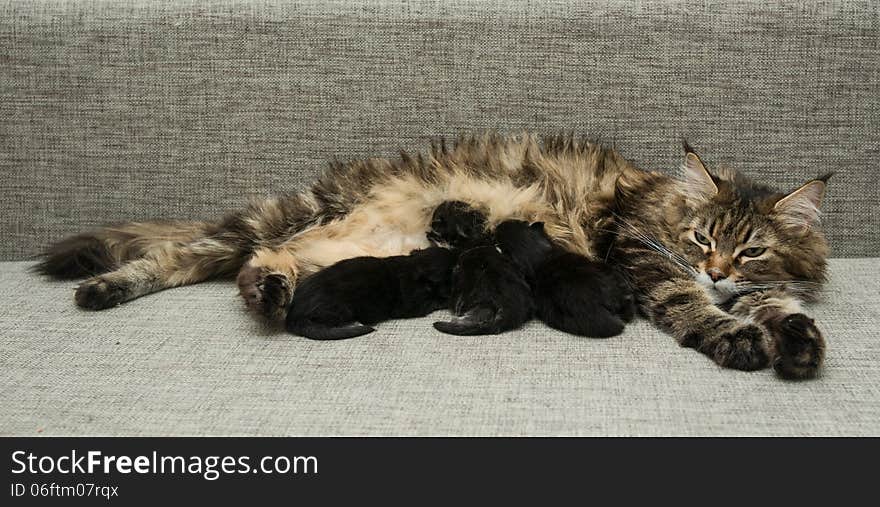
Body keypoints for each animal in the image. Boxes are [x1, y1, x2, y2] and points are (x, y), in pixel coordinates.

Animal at [288, 247, 458, 342]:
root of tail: (294, 316)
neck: (415, 266)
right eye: (453, 271)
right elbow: (436, 301)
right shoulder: (416, 305)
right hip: (338, 310)